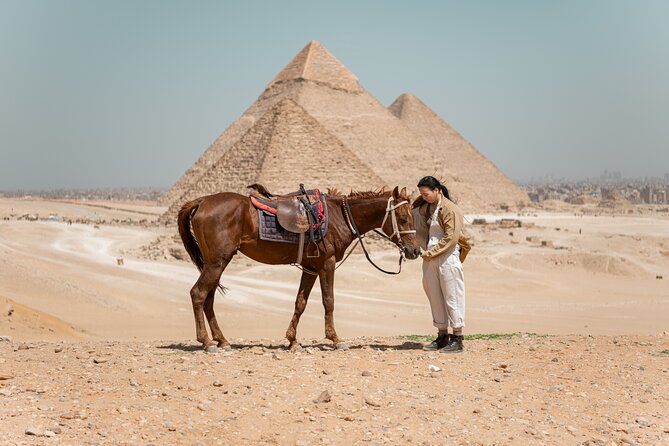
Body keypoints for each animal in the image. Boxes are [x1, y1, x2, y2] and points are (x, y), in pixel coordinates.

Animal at [177, 186, 421, 352]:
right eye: (403, 218)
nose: (414, 251)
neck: (339, 216)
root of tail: (202, 200)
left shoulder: (310, 267)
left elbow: (300, 302)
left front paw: (292, 340)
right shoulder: (327, 263)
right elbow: (329, 301)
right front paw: (335, 338)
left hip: (215, 261)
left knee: (208, 298)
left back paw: (222, 340)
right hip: (218, 261)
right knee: (198, 293)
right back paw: (207, 341)